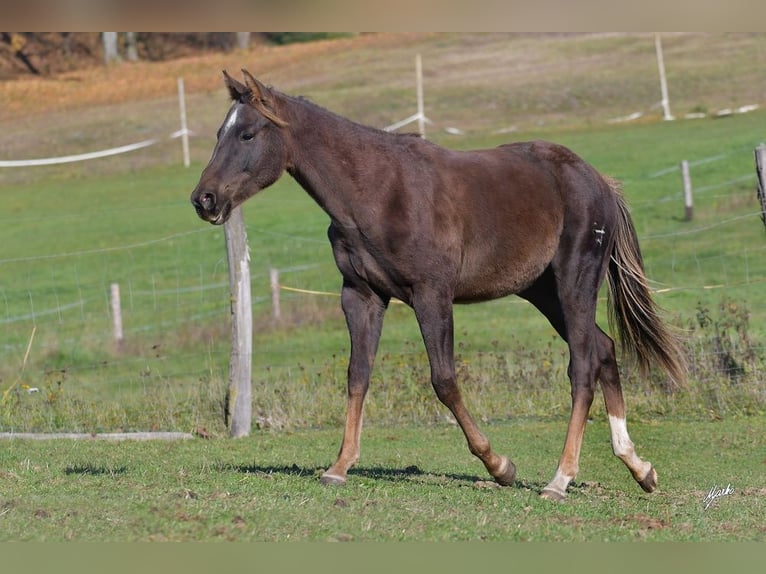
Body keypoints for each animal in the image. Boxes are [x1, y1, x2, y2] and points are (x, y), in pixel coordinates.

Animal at [189, 70, 688, 502]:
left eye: (247, 134)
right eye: (219, 132)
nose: (204, 199)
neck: (378, 190)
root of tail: (598, 181)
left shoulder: (432, 295)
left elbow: (444, 381)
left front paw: (500, 466)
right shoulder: (361, 296)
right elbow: (358, 375)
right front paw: (339, 466)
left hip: (573, 284)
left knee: (582, 366)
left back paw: (560, 479)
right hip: (543, 293)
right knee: (603, 349)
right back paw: (639, 468)